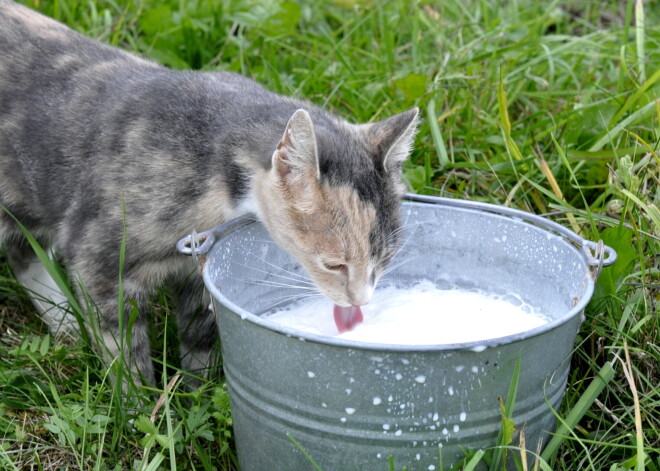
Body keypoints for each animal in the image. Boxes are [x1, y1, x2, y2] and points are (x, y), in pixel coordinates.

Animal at [1, 0, 418, 388]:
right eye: (334, 265)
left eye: (384, 260)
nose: (361, 301)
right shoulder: (98, 257)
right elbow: (122, 348)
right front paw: (139, 403)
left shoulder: (198, 273)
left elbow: (199, 338)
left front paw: (196, 391)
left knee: (22, 250)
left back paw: (64, 322)